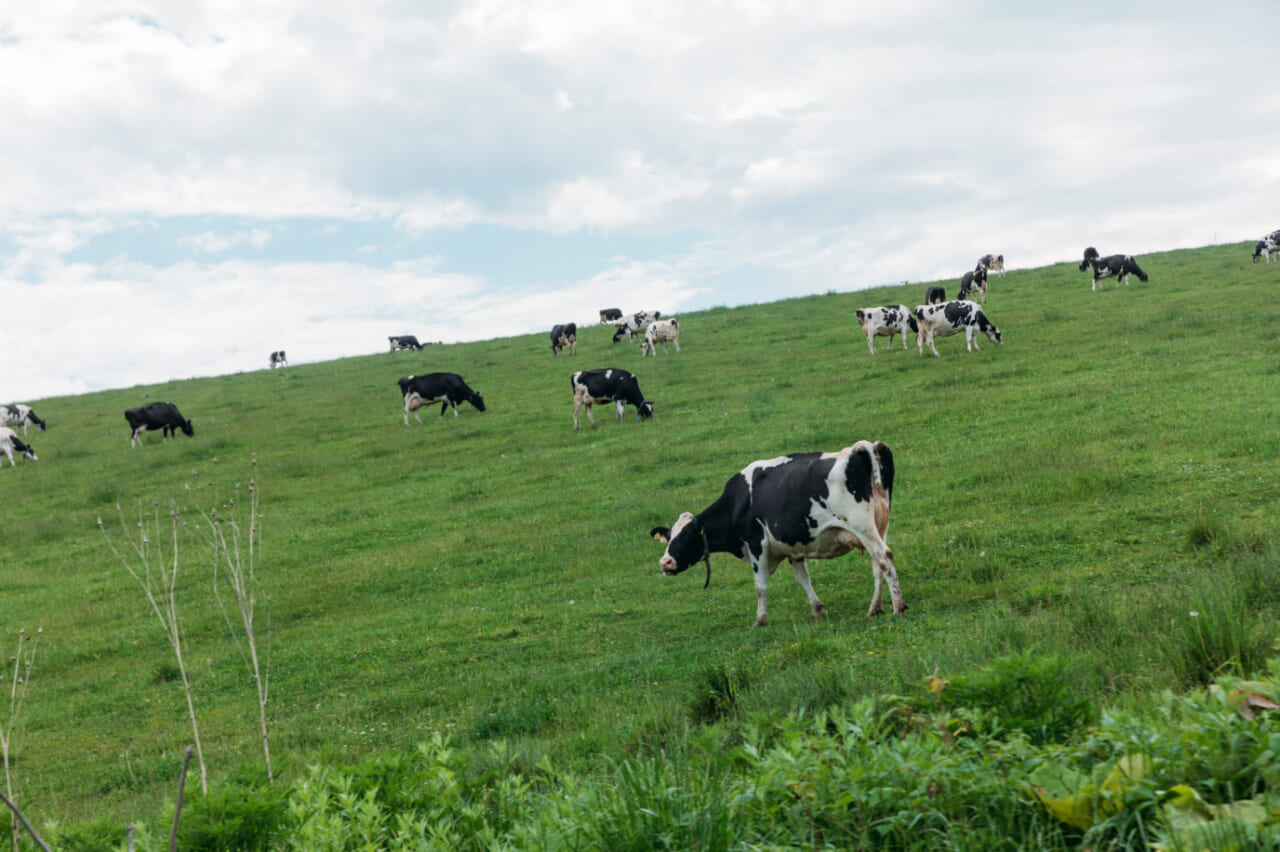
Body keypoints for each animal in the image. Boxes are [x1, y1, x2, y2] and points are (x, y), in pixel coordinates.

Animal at [650, 437, 901, 624]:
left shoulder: (756, 544)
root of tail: (861, 448)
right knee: (878, 565)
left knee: (884, 558)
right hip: (880, 525)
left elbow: (760, 586)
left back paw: (898, 607)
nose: (665, 562)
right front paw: (817, 609)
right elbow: (803, 579)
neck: (738, 502)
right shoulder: (793, 547)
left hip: (862, 526)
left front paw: (760, 620)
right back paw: (874, 608)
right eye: (669, 537)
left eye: (687, 535)